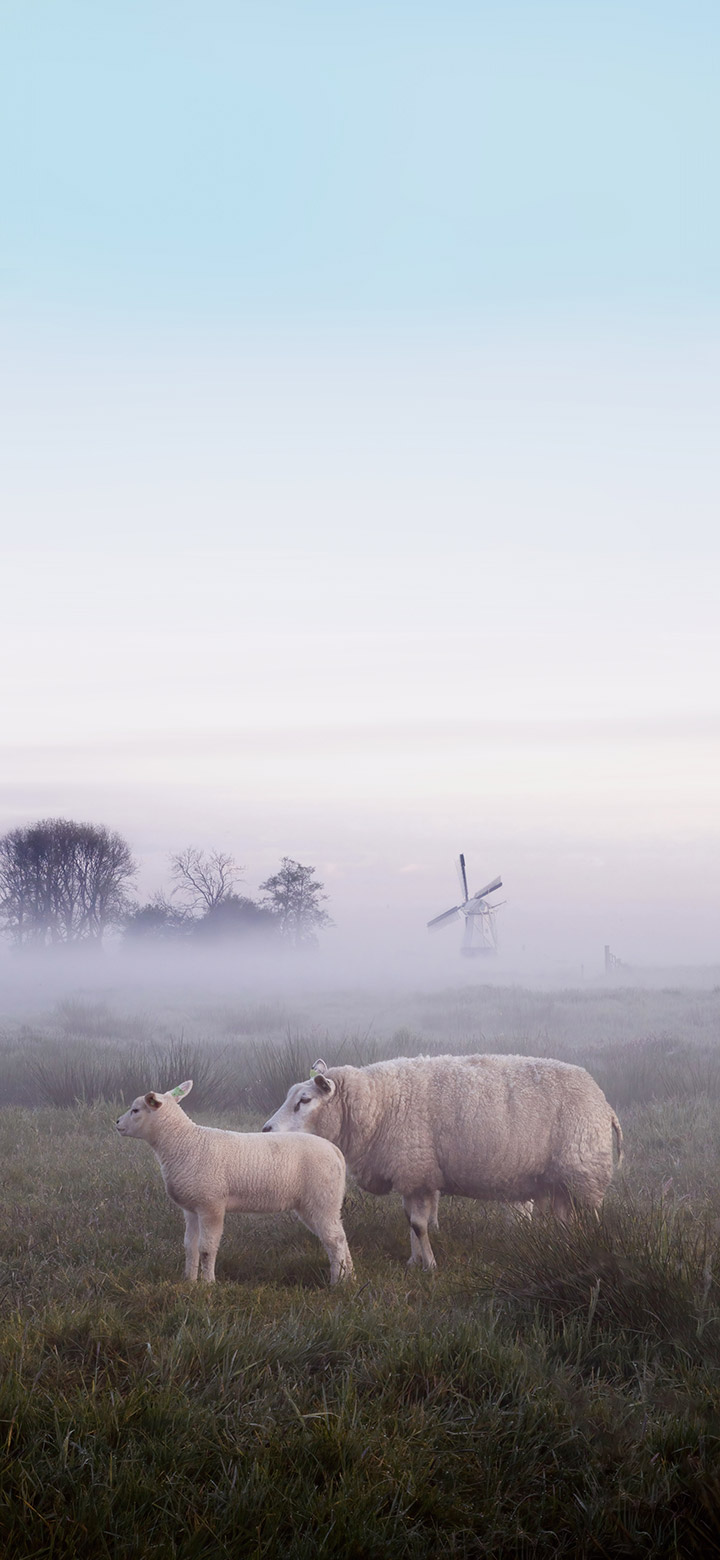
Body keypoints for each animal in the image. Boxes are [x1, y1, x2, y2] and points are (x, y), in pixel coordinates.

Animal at [116, 1079, 353, 1285]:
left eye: (135, 1110)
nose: (116, 1123)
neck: (183, 1142)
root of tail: (335, 1150)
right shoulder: (191, 1209)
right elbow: (190, 1247)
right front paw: (188, 1281)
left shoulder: (211, 1205)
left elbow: (206, 1249)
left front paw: (208, 1284)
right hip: (321, 1204)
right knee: (340, 1236)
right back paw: (349, 1277)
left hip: (322, 1200)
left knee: (335, 1240)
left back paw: (337, 1282)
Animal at [261, 1054, 620, 1272]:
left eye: (304, 1100)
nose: (266, 1130)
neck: (378, 1104)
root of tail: (601, 1099)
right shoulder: (412, 1175)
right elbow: (410, 1222)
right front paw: (413, 1261)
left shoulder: (416, 1171)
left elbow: (419, 1225)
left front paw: (430, 1266)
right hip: (561, 1180)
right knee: (564, 1219)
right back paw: (563, 1247)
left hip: (585, 1170)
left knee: (592, 1217)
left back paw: (590, 1251)